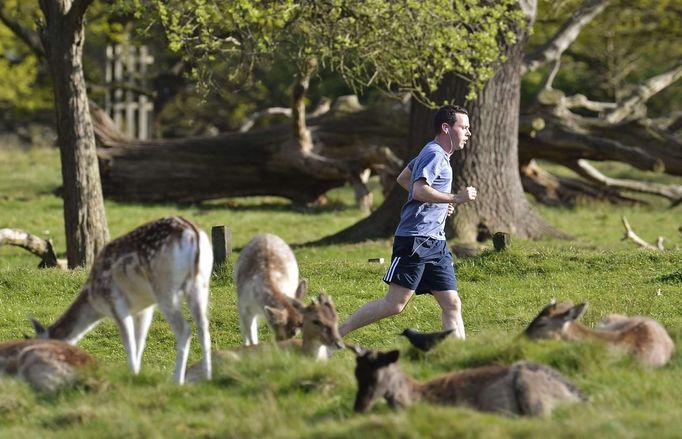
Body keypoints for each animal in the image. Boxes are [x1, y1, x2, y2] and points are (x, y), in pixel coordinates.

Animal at [29, 217, 212, 384]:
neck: (94, 300)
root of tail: (192, 233)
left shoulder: (116, 303)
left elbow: (129, 343)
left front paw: (133, 375)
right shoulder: (145, 308)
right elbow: (140, 341)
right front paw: (137, 373)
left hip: (165, 288)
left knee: (184, 328)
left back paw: (177, 380)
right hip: (201, 283)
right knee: (203, 325)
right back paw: (208, 377)